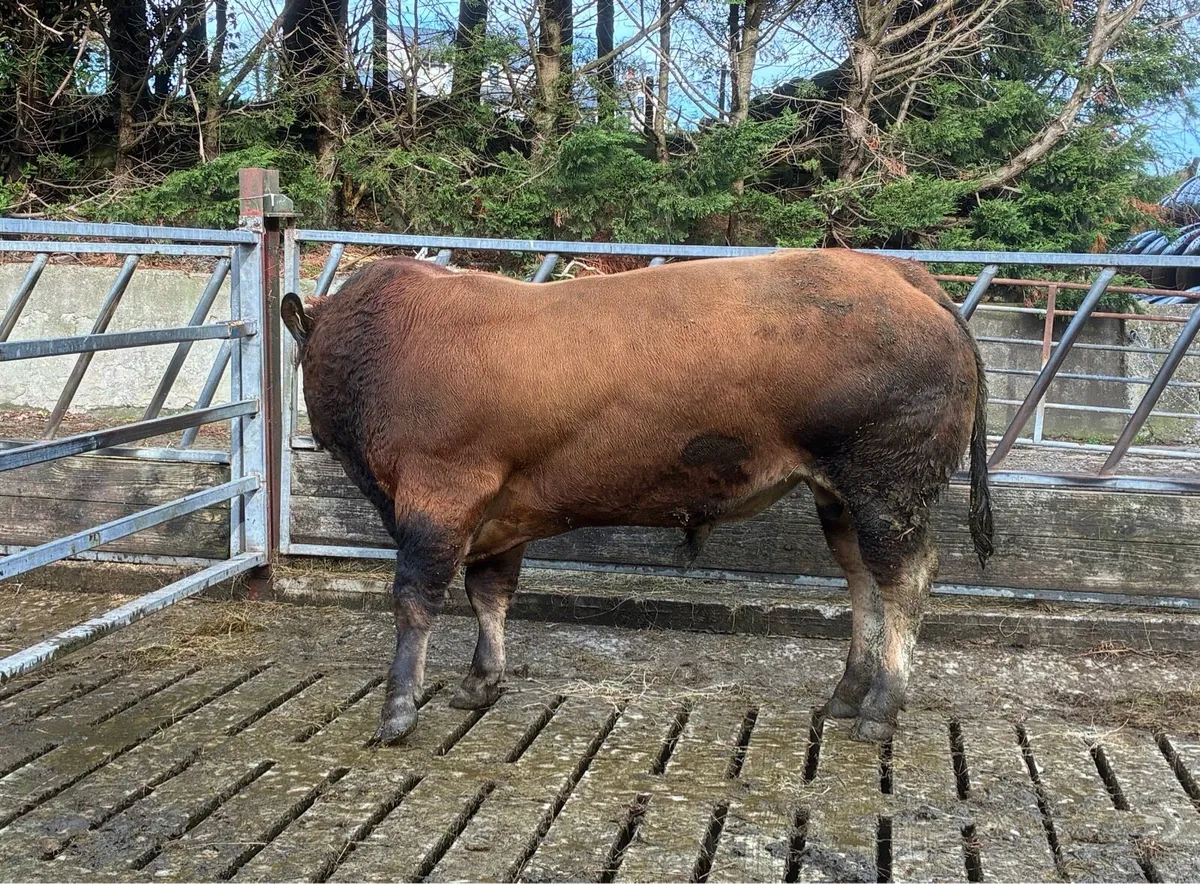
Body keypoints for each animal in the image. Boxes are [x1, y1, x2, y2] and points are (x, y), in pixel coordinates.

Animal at [281, 248, 993, 745]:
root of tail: (898, 273)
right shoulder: (499, 514)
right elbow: (490, 594)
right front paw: (480, 682)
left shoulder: (441, 494)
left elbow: (415, 600)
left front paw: (398, 711)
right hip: (840, 495)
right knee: (863, 580)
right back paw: (847, 693)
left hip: (887, 485)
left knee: (904, 579)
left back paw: (881, 708)